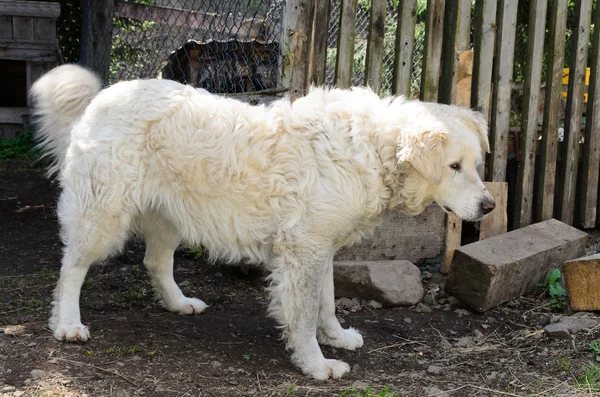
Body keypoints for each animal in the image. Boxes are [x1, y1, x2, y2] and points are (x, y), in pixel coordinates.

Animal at [30, 65, 494, 380]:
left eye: (476, 164)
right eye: (453, 166)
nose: (489, 206)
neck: (369, 149)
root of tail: (103, 97)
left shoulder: (320, 248)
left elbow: (326, 303)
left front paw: (337, 337)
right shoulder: (304, 250)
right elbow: (303, 316)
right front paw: (316, 364)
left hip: (169, 218)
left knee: (156, 263)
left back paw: (179, 304)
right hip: (102, 217)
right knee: (70, 269)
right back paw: (68, 325)